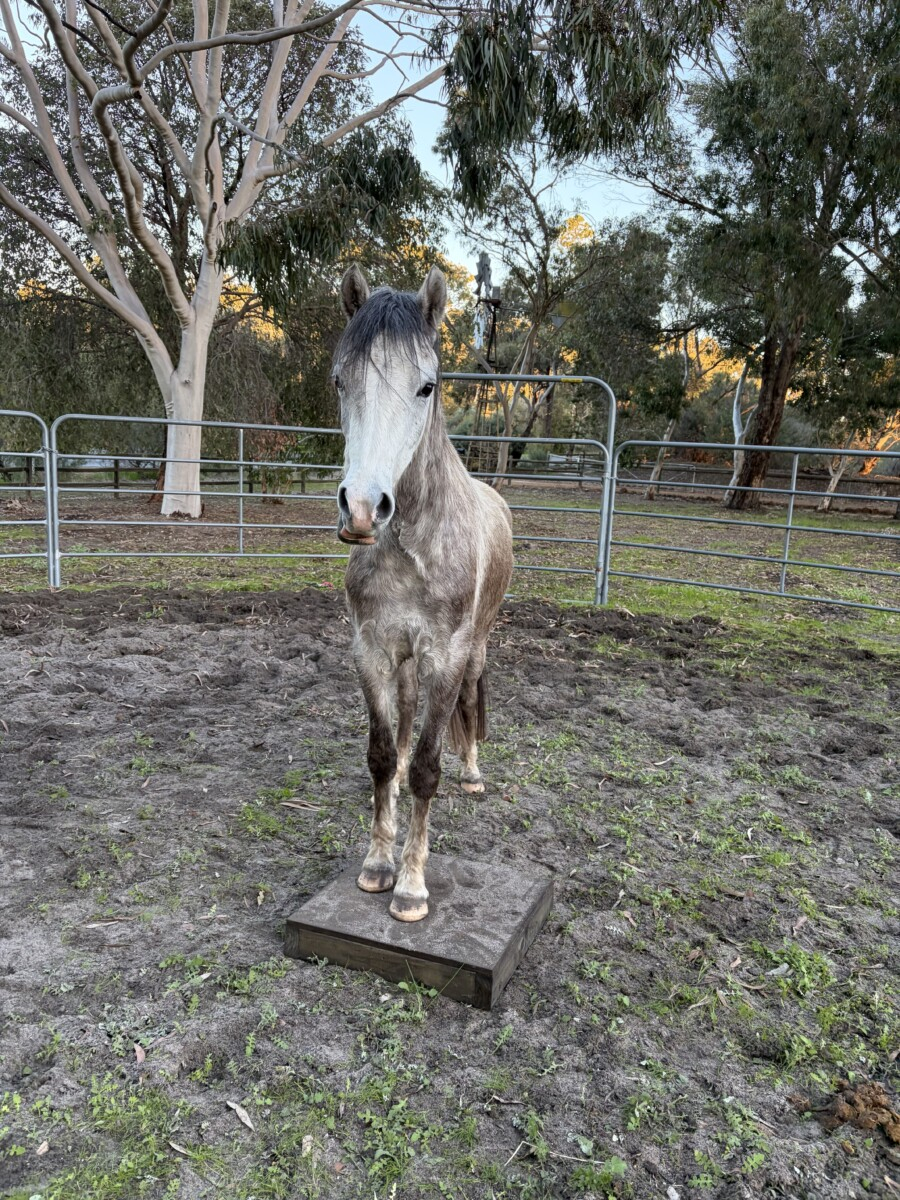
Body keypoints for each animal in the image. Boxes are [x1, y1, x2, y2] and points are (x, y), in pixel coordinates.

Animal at [333, 264, 514, 922]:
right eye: (341, 380)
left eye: (426, 387)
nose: (363, 507)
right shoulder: (372, 650)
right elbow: (384, 757)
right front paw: (378, 865)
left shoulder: (446, 655)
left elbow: (430, 771)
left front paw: (411, 887)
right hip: (406, 663)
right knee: (406, 722)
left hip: (475, 649)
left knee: (469, 707)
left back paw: (474, 772)